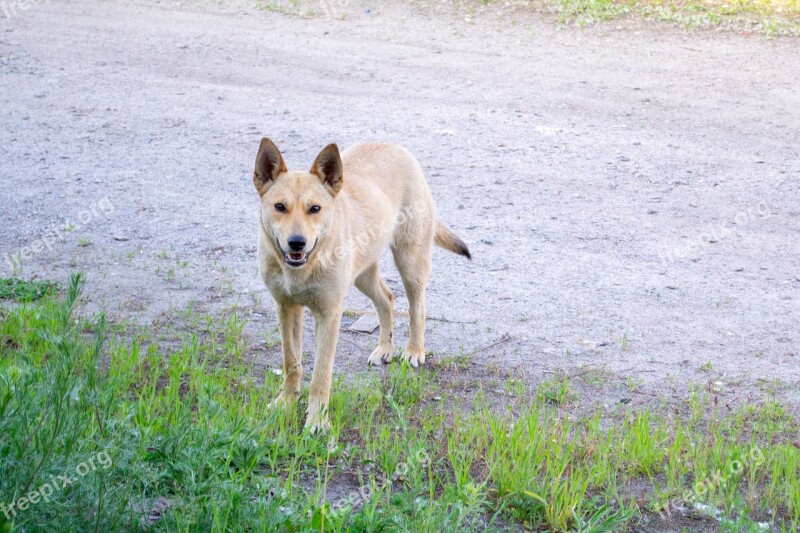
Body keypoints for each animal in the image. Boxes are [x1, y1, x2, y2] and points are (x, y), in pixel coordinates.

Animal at [255, 139, 468, 430]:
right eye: (280, 207)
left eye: (315, 209)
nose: (297, 243)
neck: (305, 267)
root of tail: (394, 145)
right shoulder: (286, 309)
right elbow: (292, 363)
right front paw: (286, 403)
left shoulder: (329, 315)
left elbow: (321, 375)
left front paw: (317, 420)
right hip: (362, 275)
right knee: (387, 299)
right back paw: (385, 349)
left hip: (410, 262)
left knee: (417, 307)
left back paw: (414, 350)